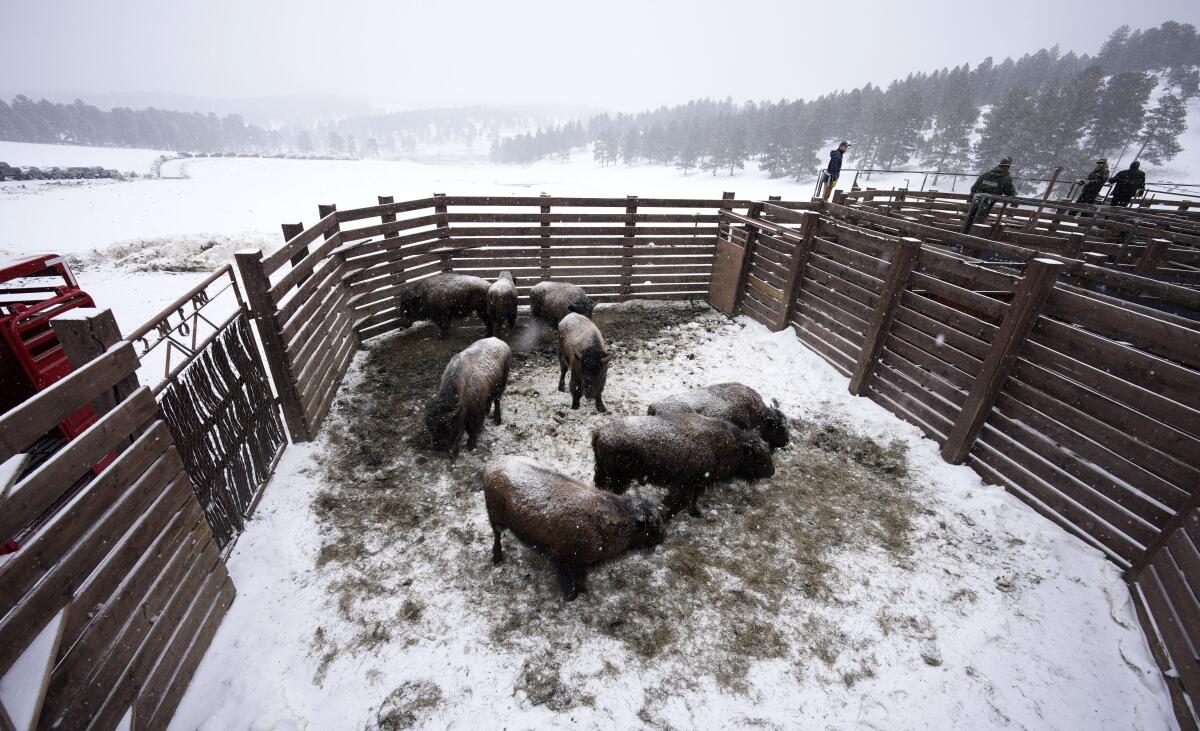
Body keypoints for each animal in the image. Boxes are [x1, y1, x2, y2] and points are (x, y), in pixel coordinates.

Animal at [480, 456, 667, 597]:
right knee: (496, 535)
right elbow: (571, 583)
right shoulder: (567, 563)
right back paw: (497, 558)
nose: (664, 536)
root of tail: (492, 464)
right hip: (495, 518)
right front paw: (572, 596)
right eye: (653, 525)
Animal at [592, 412, 777, 516]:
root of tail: (600, 432)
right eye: (758, 456)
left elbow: (691, 501)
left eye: (767, 450)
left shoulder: (697, 484)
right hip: (619, 479)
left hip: (603, 473)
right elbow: (679, 505)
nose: (772, 471)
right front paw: (666, 516)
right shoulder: (686, 485)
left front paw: (696, 514)